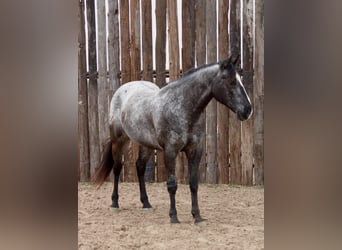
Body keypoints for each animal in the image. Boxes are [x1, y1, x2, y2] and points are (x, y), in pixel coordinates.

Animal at [95, 54, 252, 223]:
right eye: (231, 81)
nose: (248, 110)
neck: (182, 108)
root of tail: (122, 90)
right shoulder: (170, 151)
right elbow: (172, 184)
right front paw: (173, 216)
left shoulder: (195, 151)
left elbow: (193, 183)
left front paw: (197, 216)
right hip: (119, 140)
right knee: (117, 168)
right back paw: (115, 202)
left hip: (146, 144)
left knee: (140, 167)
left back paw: (146, 203)